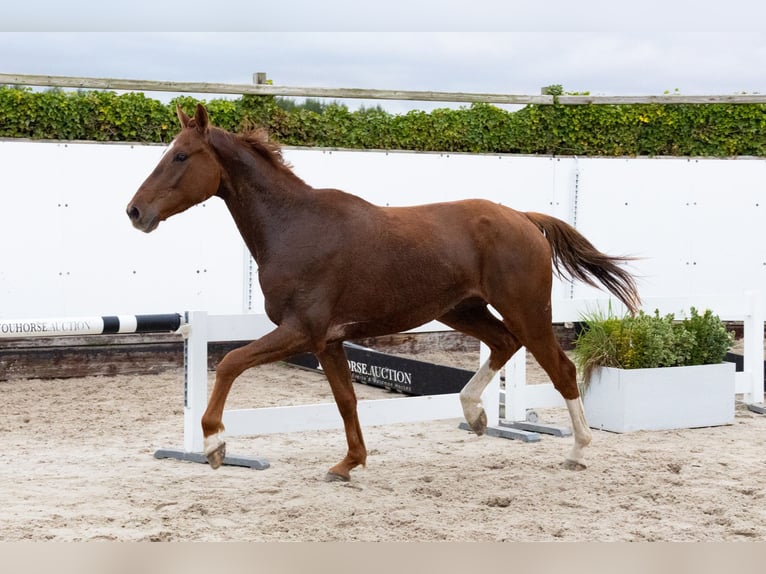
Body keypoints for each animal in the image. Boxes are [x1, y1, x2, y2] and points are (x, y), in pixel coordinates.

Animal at [127, 103, 640, 481]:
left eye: (181, 156)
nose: (134, 211)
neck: (296, 227)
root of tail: (525, 218)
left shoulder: (301, 330)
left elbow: (231, 362)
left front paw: (215, 443)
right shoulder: (328, 340)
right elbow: (346, 400)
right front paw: (348, 463)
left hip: (525, 309)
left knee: (562, 370)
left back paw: (577, 451)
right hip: (462, 310)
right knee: (503, 344)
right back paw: (475, 414)